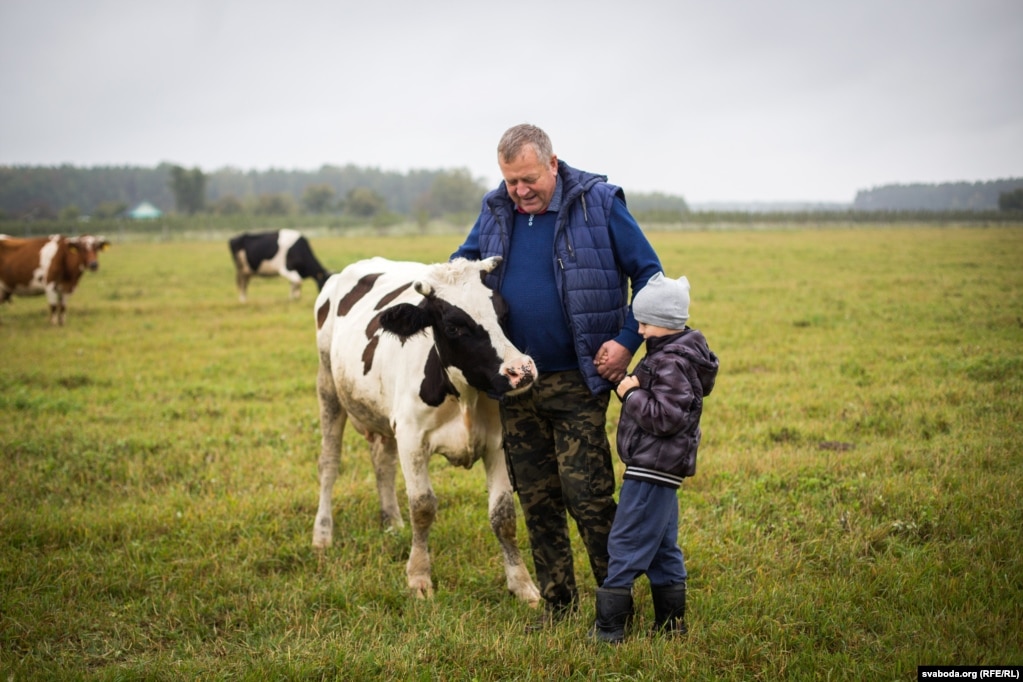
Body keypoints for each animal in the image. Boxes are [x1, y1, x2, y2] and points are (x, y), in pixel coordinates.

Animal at [313, 258, 544, 605]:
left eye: (502, 312)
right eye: (454, 327)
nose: (521, 371)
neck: (464, 396)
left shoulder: (496, 443)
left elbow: (503, 516)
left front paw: (522, 585)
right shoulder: (412, 439)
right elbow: (422, 507)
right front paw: (419, 577)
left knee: (382, 462)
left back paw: (392, 523)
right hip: (328, 388)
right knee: (329, 463)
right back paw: (323, 533)